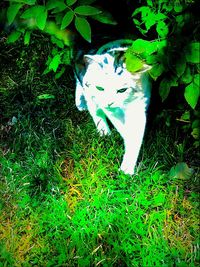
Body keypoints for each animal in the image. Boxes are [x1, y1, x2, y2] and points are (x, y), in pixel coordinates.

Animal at [75, 38, 152, 175]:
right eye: (100, 88)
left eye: (122, 90)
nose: (109, 102)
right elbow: (122, 128)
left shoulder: (139, 105)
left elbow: (135, 134)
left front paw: (127, 168)